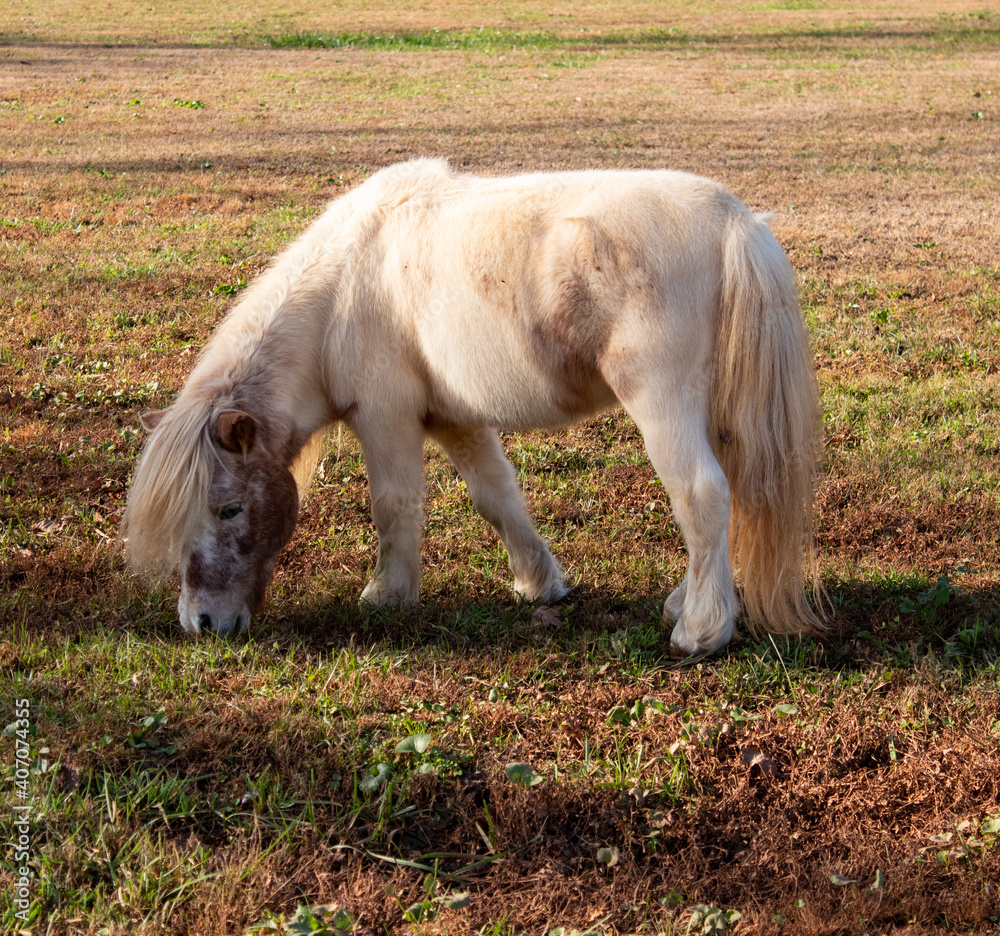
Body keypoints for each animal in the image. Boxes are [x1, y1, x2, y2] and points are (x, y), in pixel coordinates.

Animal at [122, 157, 826, 656]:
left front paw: (388, 594)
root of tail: (735, 220)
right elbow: (497, 497)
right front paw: (541, 582)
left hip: (663, 407)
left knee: (702, 494)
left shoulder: (385, 418)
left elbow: (395, 504)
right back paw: (688, 602)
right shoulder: (454, 419)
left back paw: (701, 631)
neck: (344, 288)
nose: (201, 622)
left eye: (228, 508)